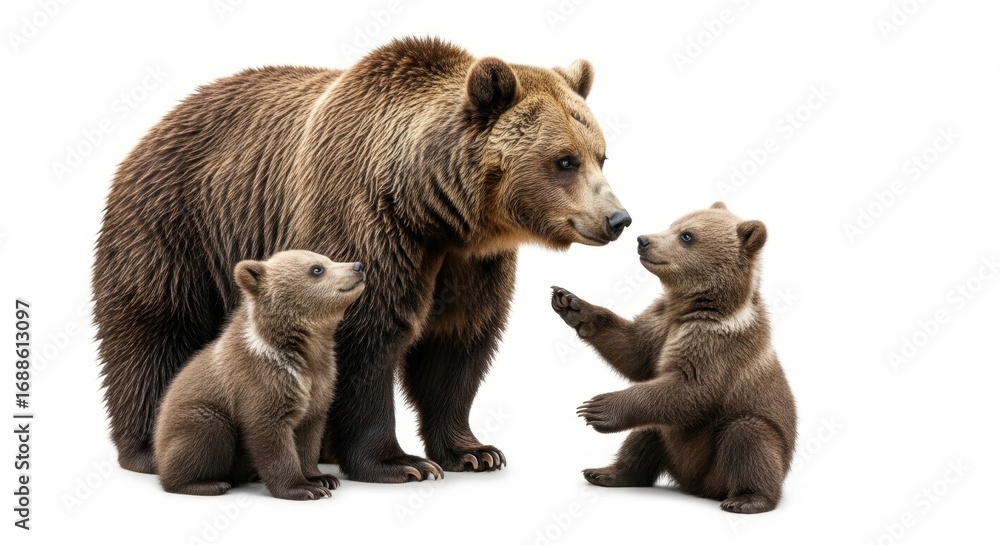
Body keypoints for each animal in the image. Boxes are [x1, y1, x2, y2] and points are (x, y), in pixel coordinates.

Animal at [153, 250, 364, 500]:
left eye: (328, 259)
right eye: (316, 269)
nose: (358, 266)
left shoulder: (320, 381)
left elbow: (309, 433)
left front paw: (322, 478)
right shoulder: (260, 380)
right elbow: (270, 434)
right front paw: (303, 488)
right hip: (194, 418)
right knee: (207, 433)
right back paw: (206, 484)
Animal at [550, 202, 796, 514]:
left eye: (687, 235)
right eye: (673, 224)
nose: (643, 239)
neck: (690, 306)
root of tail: (694, 485)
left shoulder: (717, 344)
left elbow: (691, 386)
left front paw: (596, 407)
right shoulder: (662, 323)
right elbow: (635, 352)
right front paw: (571, 303)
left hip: (730, 450)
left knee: (749, 438)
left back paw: (747, 499)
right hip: (671, 443)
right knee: (645, 435)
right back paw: (605, 472)